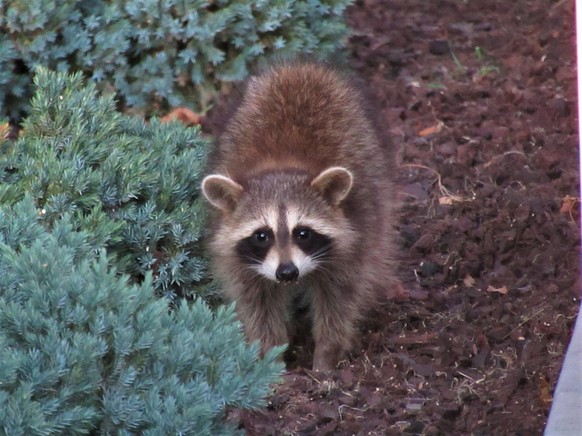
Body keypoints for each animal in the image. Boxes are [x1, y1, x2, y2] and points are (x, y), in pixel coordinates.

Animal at [202, 62, 402, 372]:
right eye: (262, 235)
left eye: (303, 233)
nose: (287, 272)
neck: (283, 166)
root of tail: (300, 67)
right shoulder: (237, 258)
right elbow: (257, 303)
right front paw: (269, 358)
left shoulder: (356, 232)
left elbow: (340, 298)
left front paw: (326, 355)